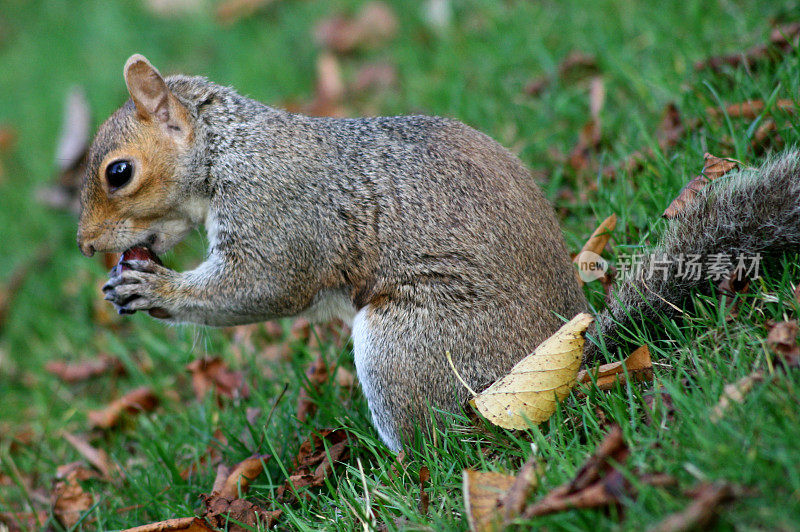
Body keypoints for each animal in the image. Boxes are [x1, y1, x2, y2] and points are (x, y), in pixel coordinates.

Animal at [76, 56, 800, 450]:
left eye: (119, 172)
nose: (86, 245)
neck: (229, 148)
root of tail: (566, 359)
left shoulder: (278, 211)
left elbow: (262, 287)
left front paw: (155, 290)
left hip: (410, 347)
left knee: (454, 441)